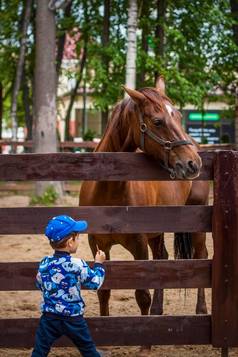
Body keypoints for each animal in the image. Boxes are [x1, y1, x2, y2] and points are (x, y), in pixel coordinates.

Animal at [79, 77, 208, 320]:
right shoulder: (97, 244)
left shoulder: (139, 245)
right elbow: (104, 292)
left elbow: (142, 295)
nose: (193, 163)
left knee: (201, 256)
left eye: (178, 115)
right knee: (162, 257)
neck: (109, 191)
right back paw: (158, 311)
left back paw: (201, 310)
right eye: (157, 121)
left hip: (196, 221)